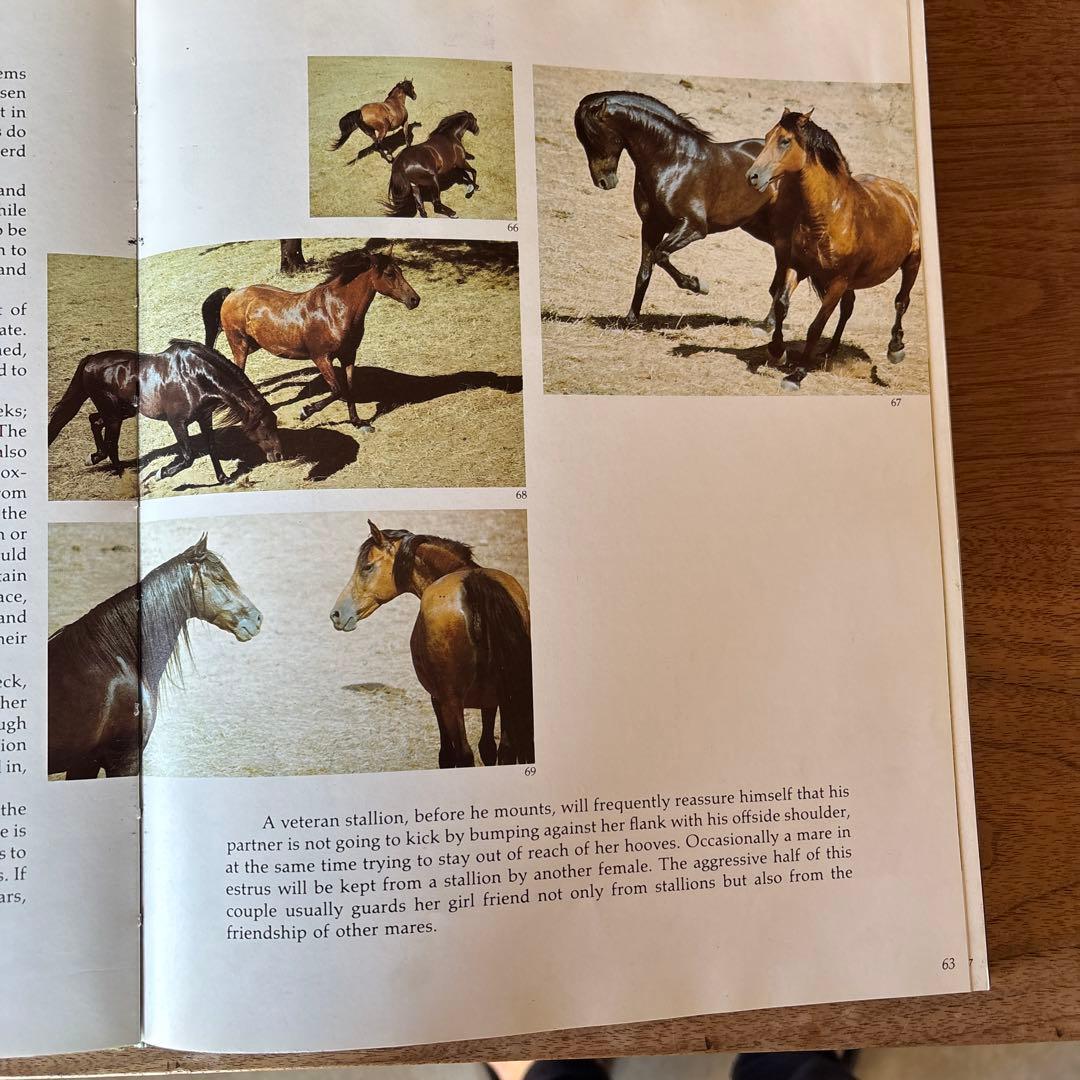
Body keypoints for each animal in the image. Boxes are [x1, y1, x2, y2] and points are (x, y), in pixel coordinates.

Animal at [47, 339, 284, 484]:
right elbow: (188, 457)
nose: (279, 455)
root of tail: (91, 359)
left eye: (275, 424)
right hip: (114, 415)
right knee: (111, 442)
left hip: (121, 412)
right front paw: (160, 474)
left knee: (95, 422)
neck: (195, 376)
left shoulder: (204, 417)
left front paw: (224, 478)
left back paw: (95, 457)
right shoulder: (177, 423)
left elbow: (212, 447)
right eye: (265, 426)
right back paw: (121, 473)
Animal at [202, 248, 421, 429]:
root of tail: (231, 295)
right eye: (390, 273)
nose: (415, 300)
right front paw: (305, 412)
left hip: (253, 345)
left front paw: (358, 422)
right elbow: (337, 390)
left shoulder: (349, 355)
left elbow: (349, 388)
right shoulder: (321, 358)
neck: (334, 311)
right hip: (239, 344)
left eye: (400, 270)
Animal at [329, 521, 533, 769]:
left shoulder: (437, 700)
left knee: (464, 754)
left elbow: (447, 755)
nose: (336, 614)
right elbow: (488, 748)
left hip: (451, 703)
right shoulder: (491, 701)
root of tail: (473, 583)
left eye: (367, 567)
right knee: (505, 750)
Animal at [573, 90, 792, 326]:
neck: (672, 160)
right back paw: (770, 322)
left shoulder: (693, 227)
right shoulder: (651, 227)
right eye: (582, 138)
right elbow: (644, 271)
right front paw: (631, 319)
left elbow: (660, 256)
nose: (604, 181)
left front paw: (699, 285)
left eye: (594, 137)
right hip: (759, 227)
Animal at [746, 108, 922, 377]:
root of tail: (904, 195)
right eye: (766, 137)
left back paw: (895, 348)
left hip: (912, 263)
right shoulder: (799, 267)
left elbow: (816, 325)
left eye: (785, 141)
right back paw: (831, 350)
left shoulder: (839, 281)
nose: (752, 177)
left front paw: (797, 374)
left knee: (901, 301)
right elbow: (782, 305)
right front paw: (777, 351)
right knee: (848, 307)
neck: (829, 214)